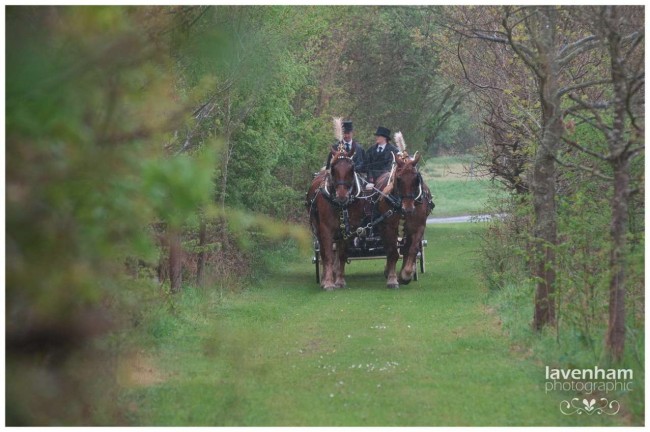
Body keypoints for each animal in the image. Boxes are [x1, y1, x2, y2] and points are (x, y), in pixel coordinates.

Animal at [306, 147, 364, 292]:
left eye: (352, 168)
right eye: (332, 168)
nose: (342, 196)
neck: (340, 205)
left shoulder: (348, 230)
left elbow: (342, 255)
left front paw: (340, 280)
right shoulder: (325, 229)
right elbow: (327, 256)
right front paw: (328, 282)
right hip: (318, 230)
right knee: (323, 252)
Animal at [372, 154, 432, 288]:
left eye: (416, 179)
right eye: (398, 179)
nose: (408, 209)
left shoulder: (418, 227)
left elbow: (412, 250)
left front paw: (406, 274)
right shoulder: (389, 227)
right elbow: (393, 252)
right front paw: (392, 278)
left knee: (406, 249)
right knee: (389, 249)